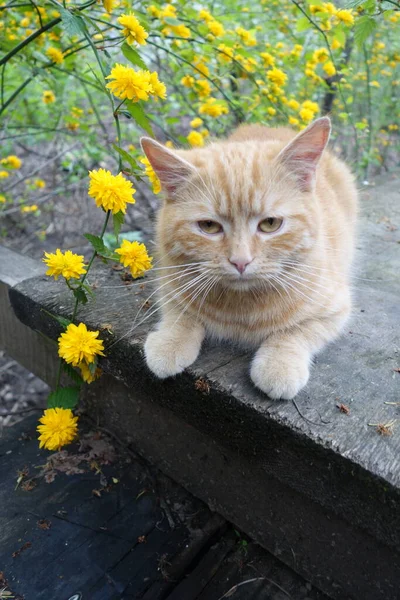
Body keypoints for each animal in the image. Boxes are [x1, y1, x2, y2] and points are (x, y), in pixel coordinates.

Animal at [141, 116, 360, 398]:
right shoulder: (169, 283)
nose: (240, 261)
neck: (242, 308)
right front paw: (170, 341)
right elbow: (180, 314)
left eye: (270, 224)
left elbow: (296, 332)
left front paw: (279, 364)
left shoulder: (335, 308)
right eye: (209, 226)